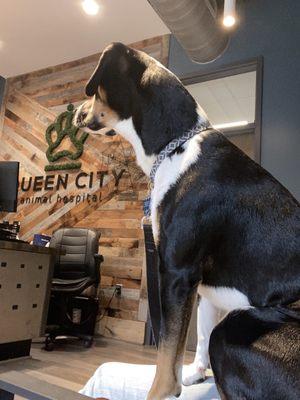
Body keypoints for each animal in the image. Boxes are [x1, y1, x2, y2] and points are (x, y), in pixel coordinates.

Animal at [73, 42, 300, 398]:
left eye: (94, 89)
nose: (73, 110)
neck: (176, 145)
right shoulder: (202, 286)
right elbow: (198, 335)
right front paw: (195, 374)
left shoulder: (177, 273)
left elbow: (167, 360)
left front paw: (163, 391)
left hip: (234, 329)